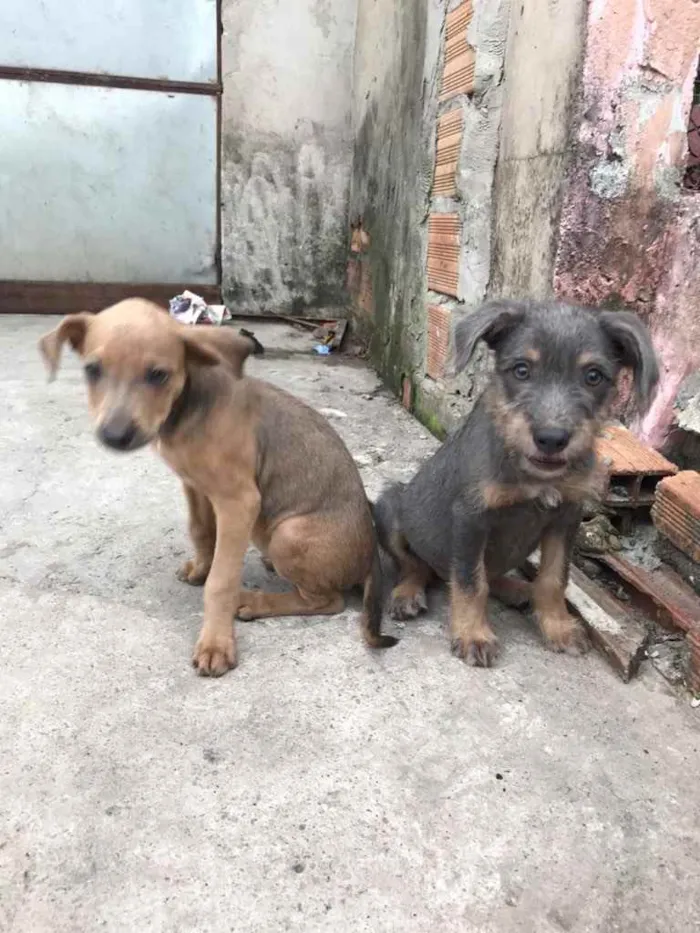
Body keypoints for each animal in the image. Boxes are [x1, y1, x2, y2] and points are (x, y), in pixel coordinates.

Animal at [41, 302, 396, 672]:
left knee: (329, 601)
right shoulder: (196, 487)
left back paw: (255, 601)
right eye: (92, 370)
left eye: (158, 374)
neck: (185, 410)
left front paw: (216, 643)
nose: (115, 436)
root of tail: (371, 556)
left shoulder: (239, 502)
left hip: (290, 534)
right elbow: (201, 532)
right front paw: (200, 569)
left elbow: (221, 581)